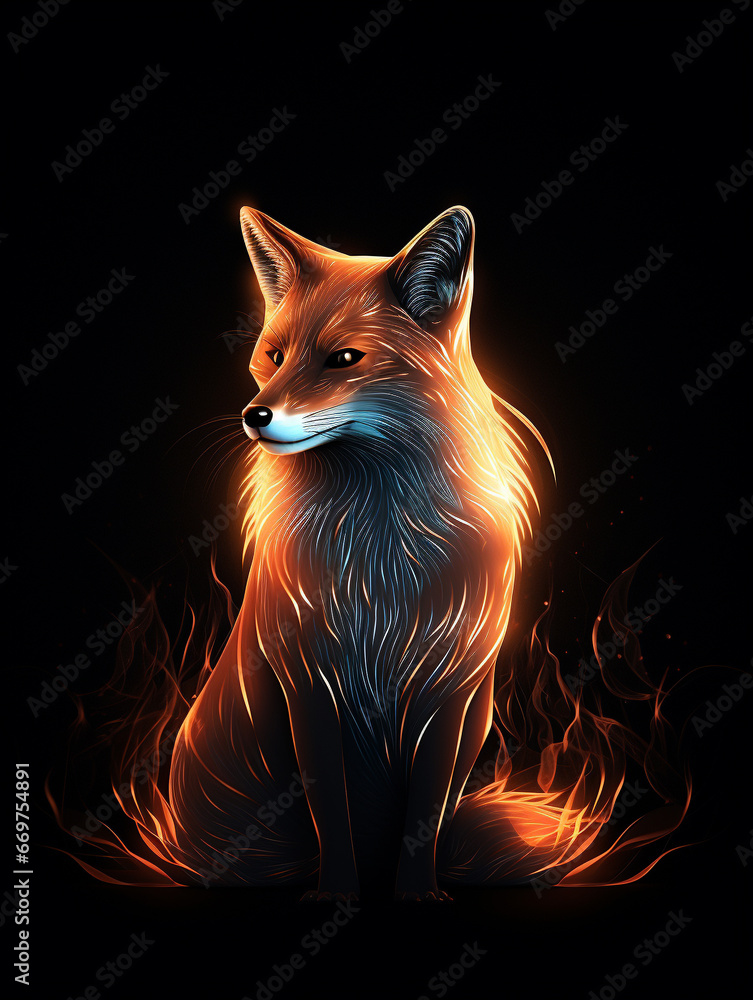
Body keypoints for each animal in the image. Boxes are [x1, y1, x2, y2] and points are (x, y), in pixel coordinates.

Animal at [168, 205, 545, 902]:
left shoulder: (449, 696)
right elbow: (330, 810)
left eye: (343, 359)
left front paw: (417, 892)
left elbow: (426, 809)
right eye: (275, 354)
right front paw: (337, 893)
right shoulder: (308, 686)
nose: (254, 415)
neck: (379, 567)